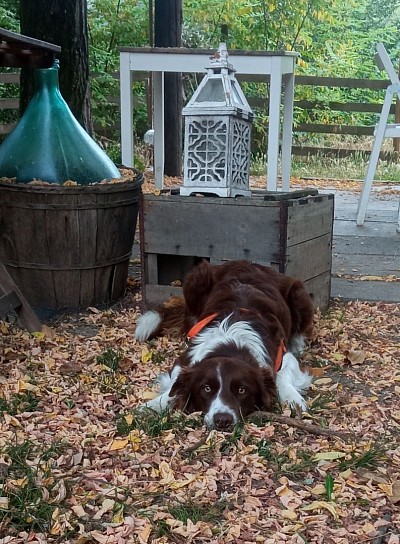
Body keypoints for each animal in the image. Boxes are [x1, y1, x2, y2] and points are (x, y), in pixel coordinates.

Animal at [136, 260, 314, 430]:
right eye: (207, 388)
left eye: (242, 390)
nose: (222, 420)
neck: (231, 346)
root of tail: (248, 262)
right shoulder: (185, 358)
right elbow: (174, 386)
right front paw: (152, 405)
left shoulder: (282, 355)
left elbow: (284, 376)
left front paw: (293, 399)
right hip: (197, 277)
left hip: (298, 292)